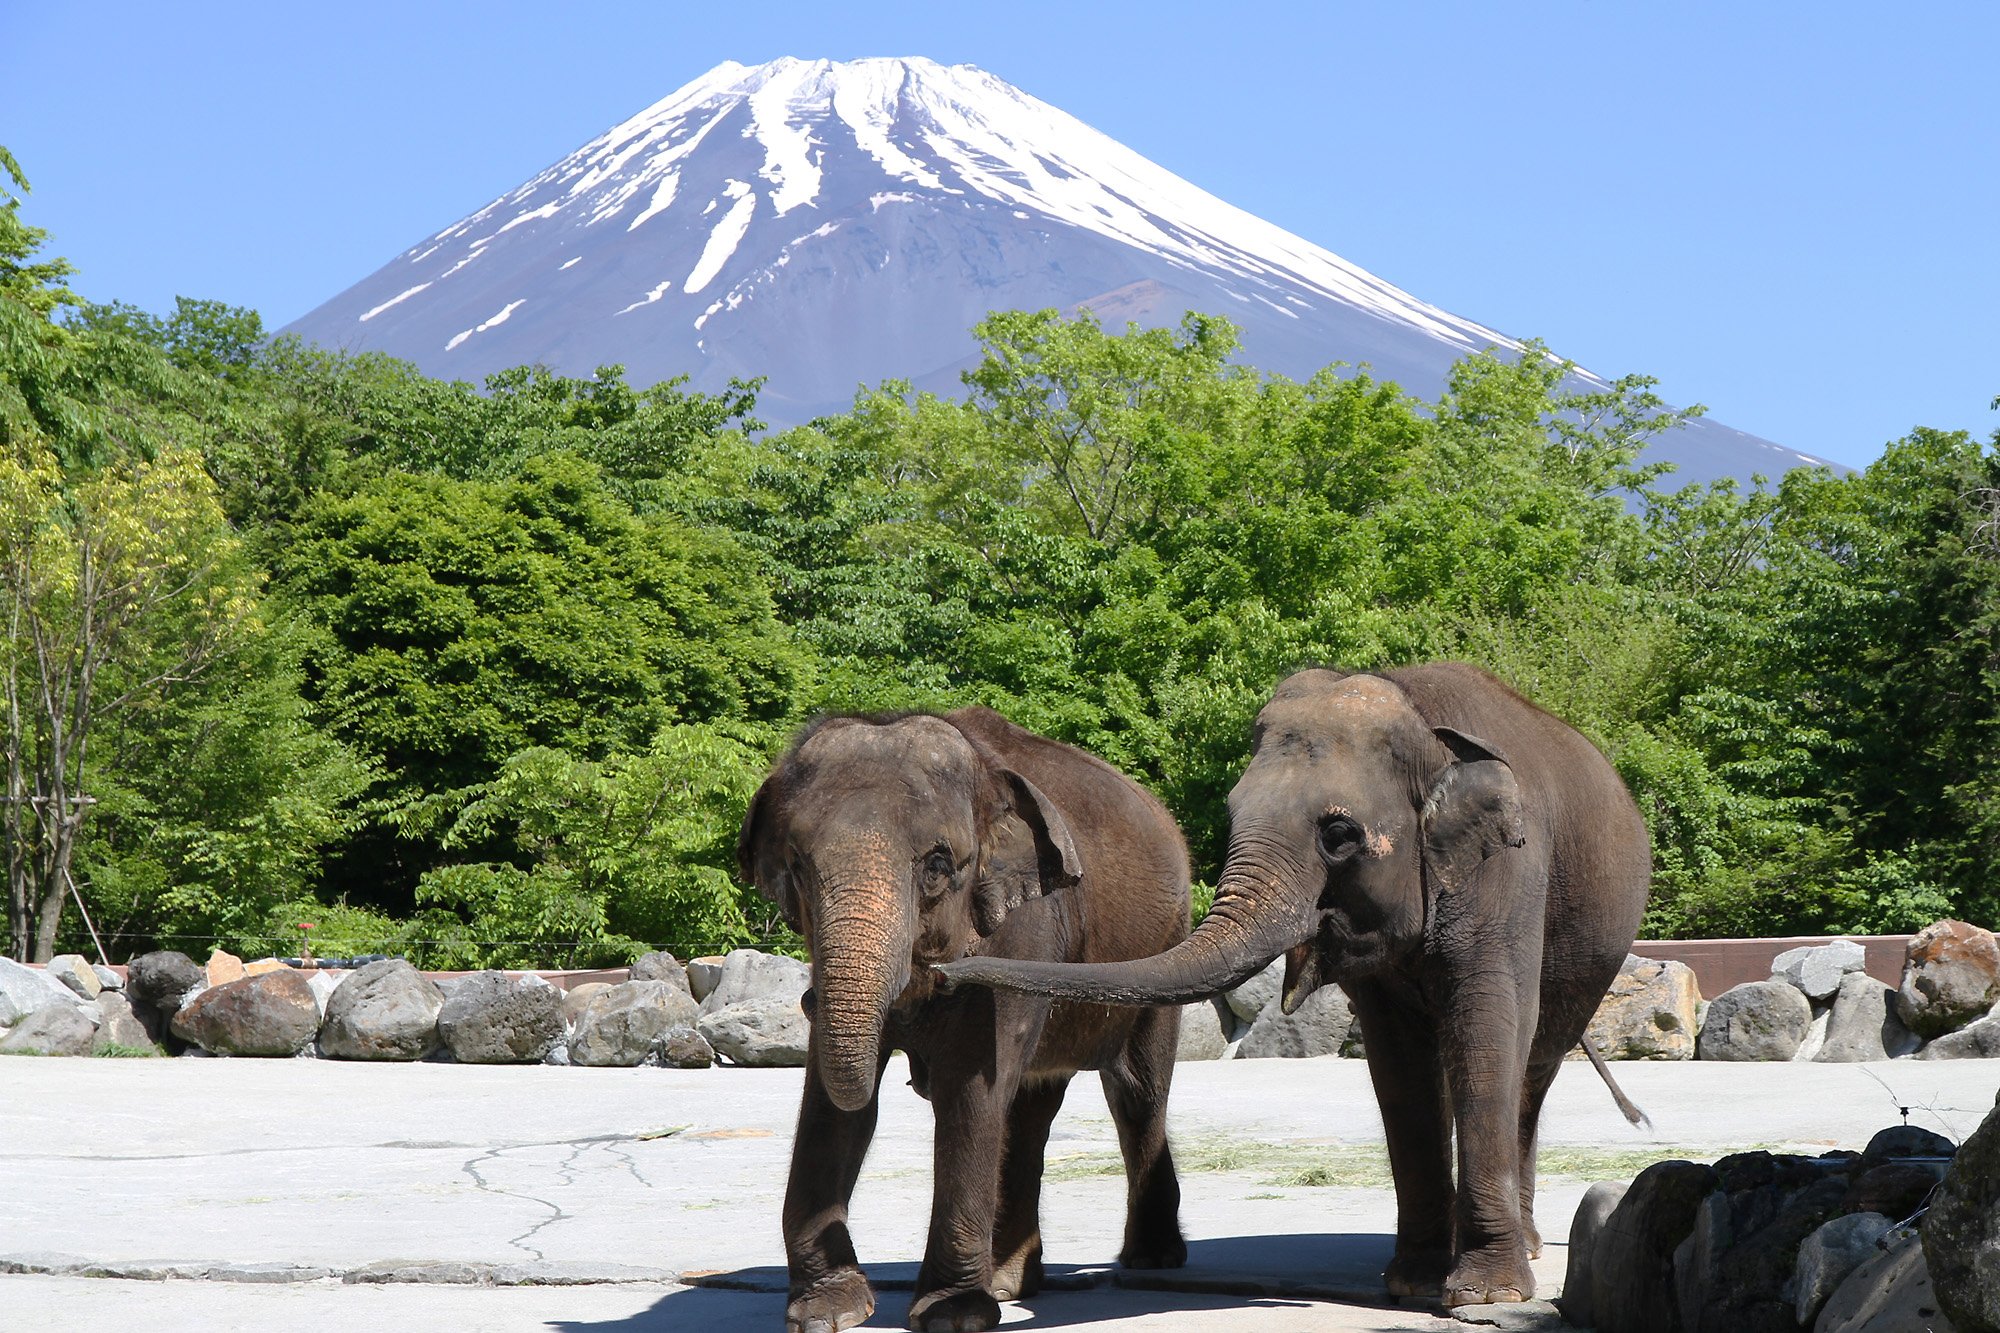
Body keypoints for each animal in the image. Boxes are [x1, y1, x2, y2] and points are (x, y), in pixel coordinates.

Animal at [744, 704, 1192, 1328]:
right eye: (797, 867)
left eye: (937, 865)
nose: (807, 1001)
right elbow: (832, 1104)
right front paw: (825, 1312)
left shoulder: (1020, 938)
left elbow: (970, 1093)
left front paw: (952, 1316)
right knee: (1031, 1109)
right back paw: (1009, 1282)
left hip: (1164, 951)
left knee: (1137, 1092)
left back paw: (1149, 1259)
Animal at [944, 660, 1648, 1304]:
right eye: (1232, 813)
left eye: (1338, 834)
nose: (946, 970)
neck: (1421, 720)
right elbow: (1399, 1062)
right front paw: (1415, 1285)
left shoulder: (1507, 873)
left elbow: (1485, 1030)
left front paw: (1482, 1297)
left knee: (1532, 1067)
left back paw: (1523, 1248)